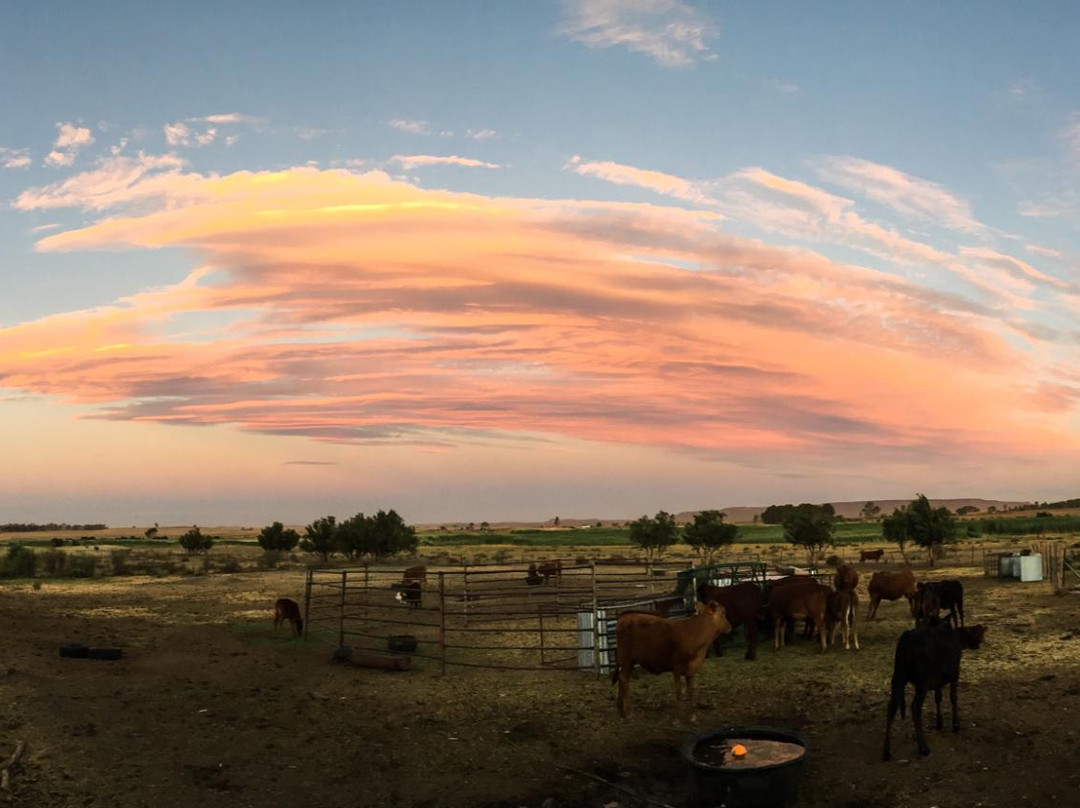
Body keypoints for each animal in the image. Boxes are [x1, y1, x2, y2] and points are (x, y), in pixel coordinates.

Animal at [885, 622, 989, 760]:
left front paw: (939, 723)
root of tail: (905, 637)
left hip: (898, 677)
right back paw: (923, 747)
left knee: (891, 706)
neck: (956, 638)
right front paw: (956, 725)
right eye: (978, 633)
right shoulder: (955, 673)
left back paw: (886, 751)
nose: (980, 643)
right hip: (921, 683)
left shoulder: (938, 678)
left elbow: (938, 697)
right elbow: (953, 697)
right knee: (915, 708)